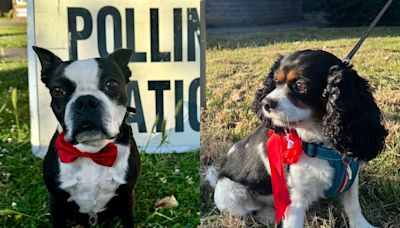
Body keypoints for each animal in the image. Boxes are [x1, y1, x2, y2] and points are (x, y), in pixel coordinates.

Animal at [33, 46, 142, 228]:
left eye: (111, 84)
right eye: (57, 90)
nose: (85, 101)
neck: (91, 151)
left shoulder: (127, 196)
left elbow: (128, 221)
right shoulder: (56, 201)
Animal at [208, 49, 386, 226]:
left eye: (300, 85)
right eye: (276, 81)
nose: (266, 103)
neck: (320, 143)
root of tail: (218, 175)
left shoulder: (351, 179)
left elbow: (354, 207)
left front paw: (363, 225)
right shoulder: (295, 199)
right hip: (229, 194)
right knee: (251, 211)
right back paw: (269, 215)